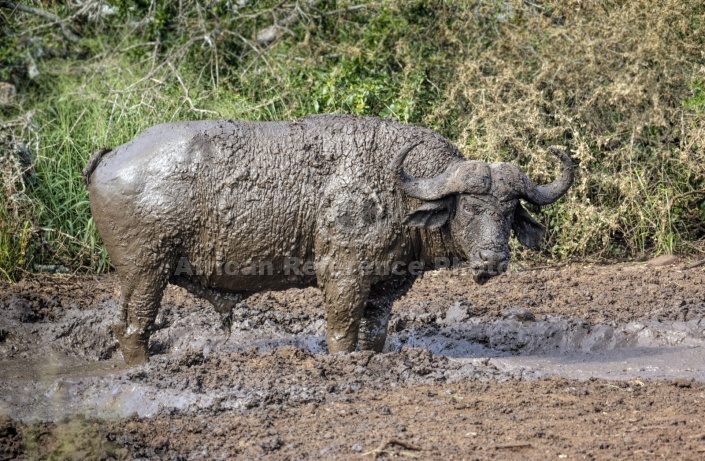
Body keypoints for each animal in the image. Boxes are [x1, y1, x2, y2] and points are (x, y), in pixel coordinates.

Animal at [84, 114, 572, 362]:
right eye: (469, 207)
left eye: (508, 210)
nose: (493, 259)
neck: (395, 189)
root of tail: (112, 154)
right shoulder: (344, 276)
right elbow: (341, 330)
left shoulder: (386, 284)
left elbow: (374, 332)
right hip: (148, 270)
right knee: (136, 326)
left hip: (133, 276)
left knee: (121, 324)